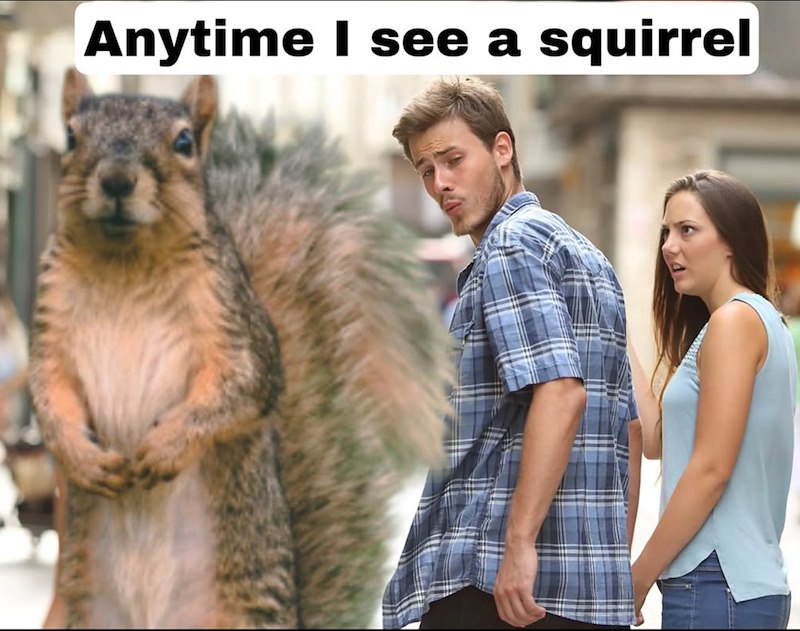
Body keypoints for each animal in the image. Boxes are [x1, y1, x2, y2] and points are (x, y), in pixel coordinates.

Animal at [28, 67, 452, 629]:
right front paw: (81, 458)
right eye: (71, 136)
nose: (117, 180)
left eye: (185, 142)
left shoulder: (234, 323)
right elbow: (48, 394)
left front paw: (167, 446)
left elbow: (244, 386)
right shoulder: (51, 329)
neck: (125, 264)